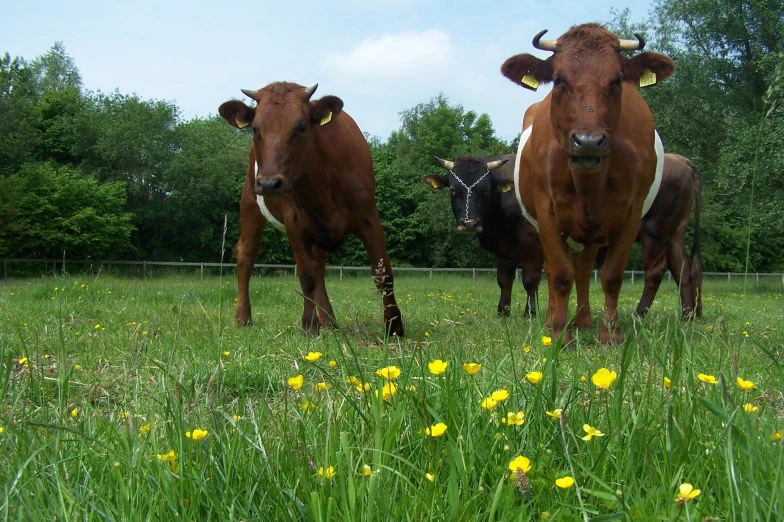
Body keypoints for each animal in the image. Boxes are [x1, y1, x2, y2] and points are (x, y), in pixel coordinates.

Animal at [220, 79, 404, 336]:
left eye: (301, 127)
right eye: (255, 129)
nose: (269, 183)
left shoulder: (370, 219)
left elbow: (383, 274)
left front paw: (394, 327)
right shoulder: (295, 224)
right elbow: (306, 276)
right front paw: (308, 325)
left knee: (319, 268)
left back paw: (330, 321)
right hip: (250, 201)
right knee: (246, 256)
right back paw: (244, 317)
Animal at [502, 24, 672, 344]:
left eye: (617, 81)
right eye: (558, 80)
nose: (588, 142)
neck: (588, 186)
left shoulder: (631, 214)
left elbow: (611, 276)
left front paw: (611, 335)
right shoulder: (547, 211)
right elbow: (559, 274)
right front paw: (559, 334)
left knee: (582, 268)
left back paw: (583, 320)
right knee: (555, 269)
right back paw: (552, 323)